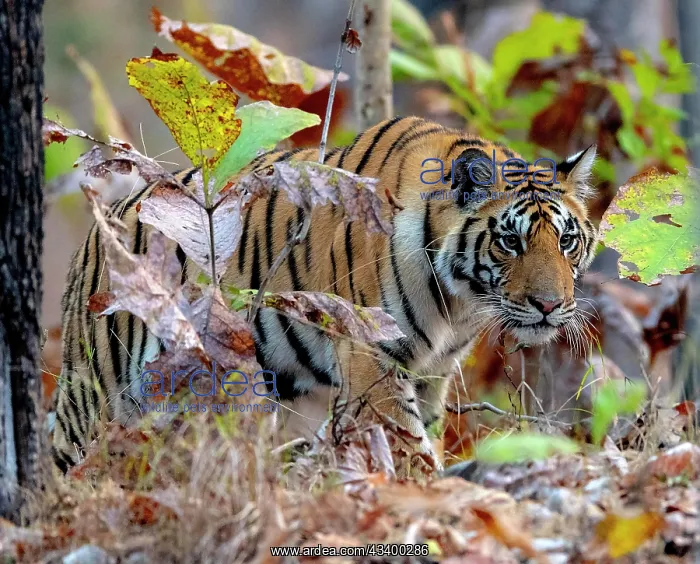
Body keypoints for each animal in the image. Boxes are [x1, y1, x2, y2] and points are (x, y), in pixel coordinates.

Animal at [52, 115, 598, 475]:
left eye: (566, 241)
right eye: (510, 241)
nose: (550, 306)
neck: (459, 303)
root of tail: (94, 234)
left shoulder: (434, 371)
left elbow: (427, 429)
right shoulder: (372, 355)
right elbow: (406, 439)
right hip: (98, 394)